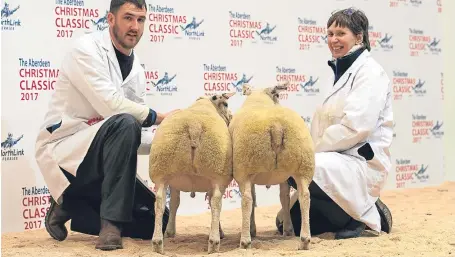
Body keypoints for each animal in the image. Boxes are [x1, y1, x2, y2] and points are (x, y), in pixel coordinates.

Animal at [150, 91, 237, 253]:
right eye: (226, 104)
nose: (231, 116)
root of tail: (194, 126)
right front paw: (220, 232)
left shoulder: (174, 182)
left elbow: (174, 203)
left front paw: (169, 232)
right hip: (217, 173)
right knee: (216, 202)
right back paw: (214, 242)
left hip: (161, 171)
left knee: (159, 201)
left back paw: (157, 242)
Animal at [230, 82, 316, 250]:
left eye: (277, 95)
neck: (259, 100)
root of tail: (276, 126)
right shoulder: (284, 176)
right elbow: (284, 198)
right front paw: (288, 230)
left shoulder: (250, 175)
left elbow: (254, 198)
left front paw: (252, 229)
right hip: (304, 166)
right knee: (304, 196)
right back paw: (304, 240)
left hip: (244, 167)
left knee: (247, 199)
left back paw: (245, 240)